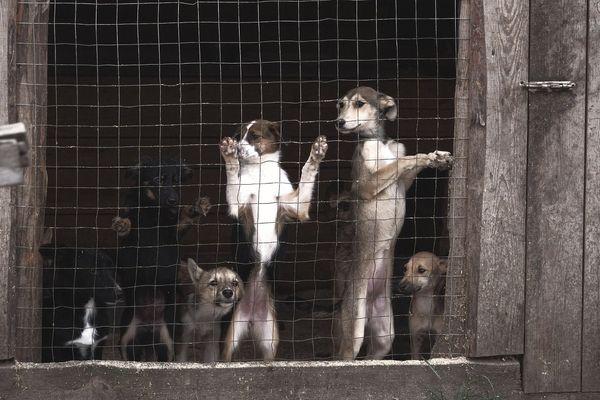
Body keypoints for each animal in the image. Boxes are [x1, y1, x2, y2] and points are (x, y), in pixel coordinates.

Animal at [113, 158, 210, 360]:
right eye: (158, 180)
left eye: (176, 181)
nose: (174, 200)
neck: (153, 212)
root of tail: (149, 328)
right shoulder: (130, 239)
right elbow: (129, 226)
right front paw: (123, 225)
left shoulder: (175, 231)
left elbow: (184, 217)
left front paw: (195, 209)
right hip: (127, 340)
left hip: (166, 342)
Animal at [220, 120, 328, 360]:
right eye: (238, 136)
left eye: (254, 136)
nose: (238, 148)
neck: (261, 172)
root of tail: (250, 314)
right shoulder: (237, 206)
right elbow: (232, 175)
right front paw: (229, 156)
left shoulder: (297, 207)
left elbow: (307, 173)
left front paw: (316, 153)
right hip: (228, 339)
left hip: (270, 339)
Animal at [336, 86, 452, 360]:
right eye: (341, 105)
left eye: (359, 104)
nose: (339, 123)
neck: (378, 141)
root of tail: (369, 300)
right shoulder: (365, 185)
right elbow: (401, 163)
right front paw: (428, 158)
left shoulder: (403, 182)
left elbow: (408, 163)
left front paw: (436, 158)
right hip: (353, 331)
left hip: (384, 335)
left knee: (372, 355)